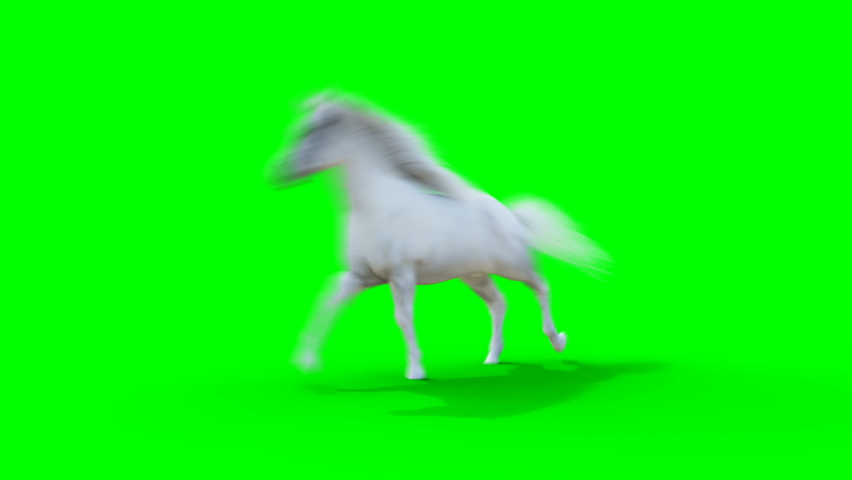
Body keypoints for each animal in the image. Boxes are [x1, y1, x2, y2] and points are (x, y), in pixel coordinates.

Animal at [272, 93, 612, 380]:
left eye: (310, 130)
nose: (276, 174)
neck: (374, 206)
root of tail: (512, 217)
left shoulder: (402, 275)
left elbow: (403, 318)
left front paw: (416, 371)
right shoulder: (361, 276)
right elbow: (327, 300)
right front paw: (305, 361)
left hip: (515, 266)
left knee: (542, 287)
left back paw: (558, 341)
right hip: (474, 275)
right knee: (499, 302)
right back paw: (492, 358)